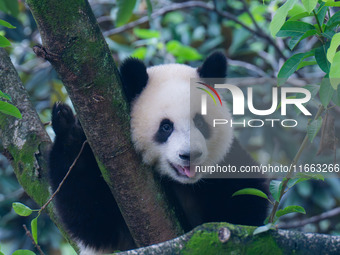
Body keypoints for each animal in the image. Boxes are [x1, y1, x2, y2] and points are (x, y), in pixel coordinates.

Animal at [48, 52, 268, 255]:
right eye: (166, 127)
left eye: (200, 122)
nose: (189, 155)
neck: (182, 184)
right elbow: (90, 217)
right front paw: (67, 126)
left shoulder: (227, 164)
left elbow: (247, 206)